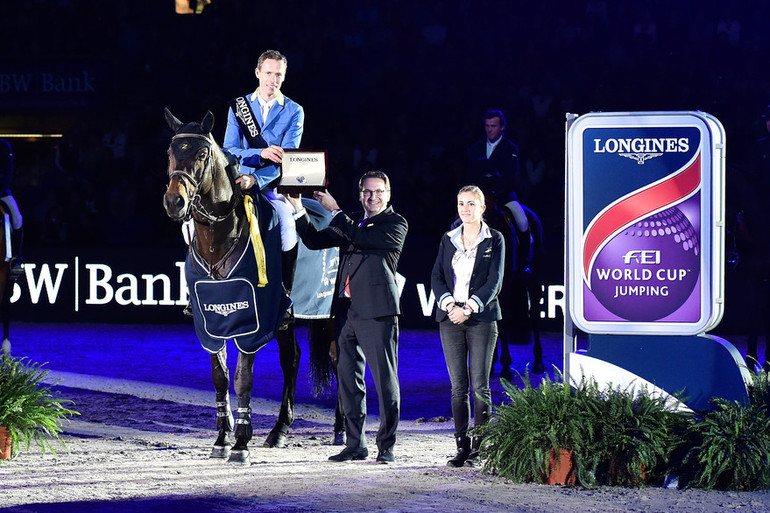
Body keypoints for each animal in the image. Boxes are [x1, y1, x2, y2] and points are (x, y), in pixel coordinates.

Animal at [162, 108, 300, 464]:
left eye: (202, 154)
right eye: (170, 152)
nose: (174, 202)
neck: (218, 238)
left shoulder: (252, 321)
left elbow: (243, 379)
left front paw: (241, 442)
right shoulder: (209, 320)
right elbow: (220, 378)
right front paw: (222, 438)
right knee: (292, 357)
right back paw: (280, 430)